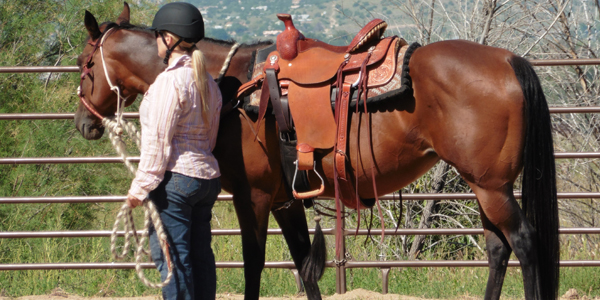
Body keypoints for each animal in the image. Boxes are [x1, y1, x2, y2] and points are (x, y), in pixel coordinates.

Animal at [75, 2, 556, 300]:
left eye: (85, 64)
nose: (84, 125)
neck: (227, 85)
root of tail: (507, 59)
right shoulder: (285, 199)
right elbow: (304, 263)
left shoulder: (253, 197)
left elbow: (255, 265)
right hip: (485, 185)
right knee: (497, 249)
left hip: (492, 187)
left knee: (524, 242)